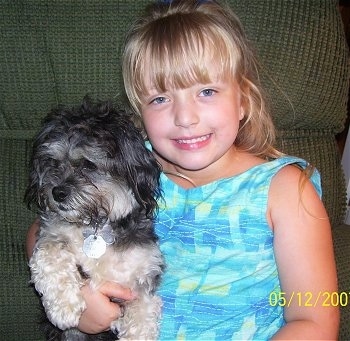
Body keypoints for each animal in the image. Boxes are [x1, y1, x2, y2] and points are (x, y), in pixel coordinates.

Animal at [26, 97, 165, 338]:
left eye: (88, 164)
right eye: (52, 162)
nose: (57, 192)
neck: (96, 224)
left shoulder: (141, 283)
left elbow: (142, 319)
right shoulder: (50, 234)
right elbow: (49, 254)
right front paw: (64, 307)